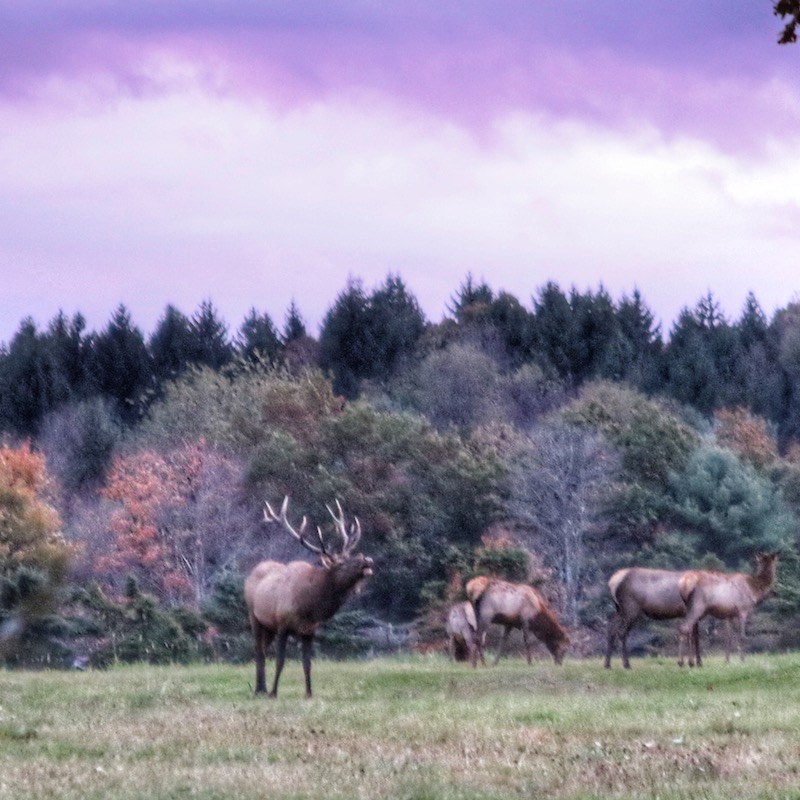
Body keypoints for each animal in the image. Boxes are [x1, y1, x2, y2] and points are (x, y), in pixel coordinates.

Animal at [245, 496, 374, 696]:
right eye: (341, 563)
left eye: (355, 555)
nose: (367, 560)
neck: (309, 606)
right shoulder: (282, 625)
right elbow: (280, 661)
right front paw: (274, 692)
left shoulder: (309, 631)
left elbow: (307, 664)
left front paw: (309, 693)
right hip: (254, 617)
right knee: (259, 651)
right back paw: (261, 689)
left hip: (269, 627)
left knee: (263, 650)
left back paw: (262, 688)